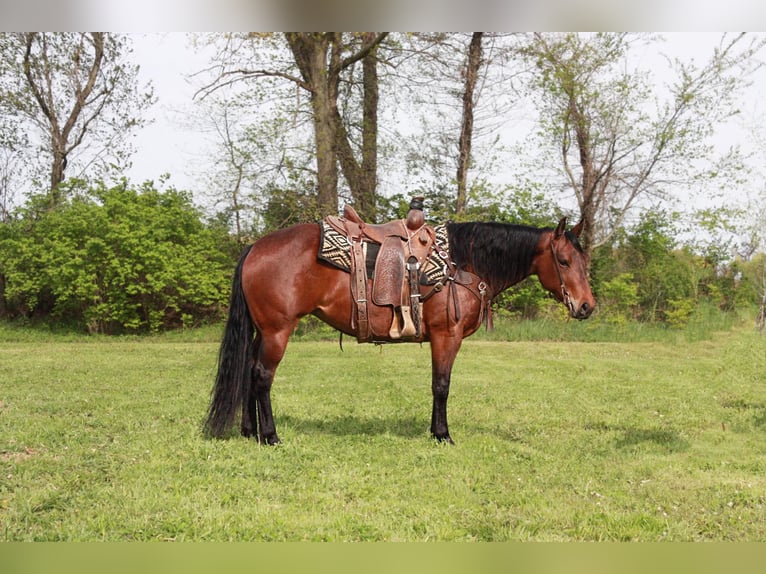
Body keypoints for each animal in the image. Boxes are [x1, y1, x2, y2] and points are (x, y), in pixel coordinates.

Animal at [204, 216, 592, 446]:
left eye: (585, 261)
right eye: (563, 261)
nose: (586, 305)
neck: (462, 263)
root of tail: (255, 246)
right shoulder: (446, 336)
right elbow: (441, 386)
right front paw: (442, 435)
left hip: (263, 331)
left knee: (247, 372)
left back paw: (249, 431)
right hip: (277, 332)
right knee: (261, 376)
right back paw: (270, 436)